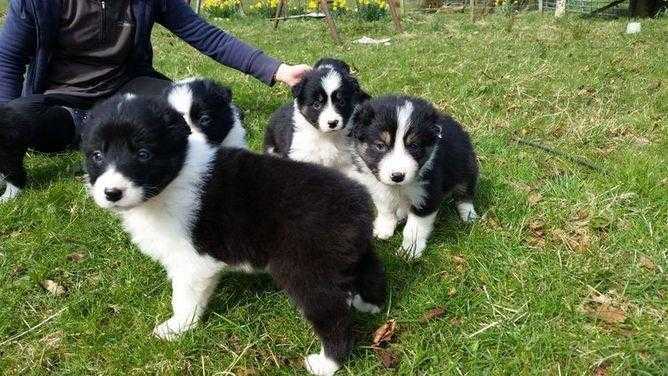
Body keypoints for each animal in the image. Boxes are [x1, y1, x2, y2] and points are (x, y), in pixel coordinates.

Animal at [82, 94, 386, 376]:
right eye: (97, 156)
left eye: (143, 154)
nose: (111, 193)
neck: (174, 175)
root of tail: (358, 201)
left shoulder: (192, 262)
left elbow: (184, 299)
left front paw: (176, 328)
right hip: (348, 252)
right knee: (370, 270)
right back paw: (368, 304)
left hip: (308, 271)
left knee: (332, 317)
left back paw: (327, 362)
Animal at [348, 94, 478, 258]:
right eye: (380, 146)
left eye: (414, 146)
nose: (397, 176)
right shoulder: (378, 187)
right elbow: (385, 209)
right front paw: (384, 228)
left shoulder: (427, 195)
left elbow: (414, 229)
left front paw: (409, 251)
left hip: (466, 167)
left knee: (465, 193)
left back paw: (468, 215)